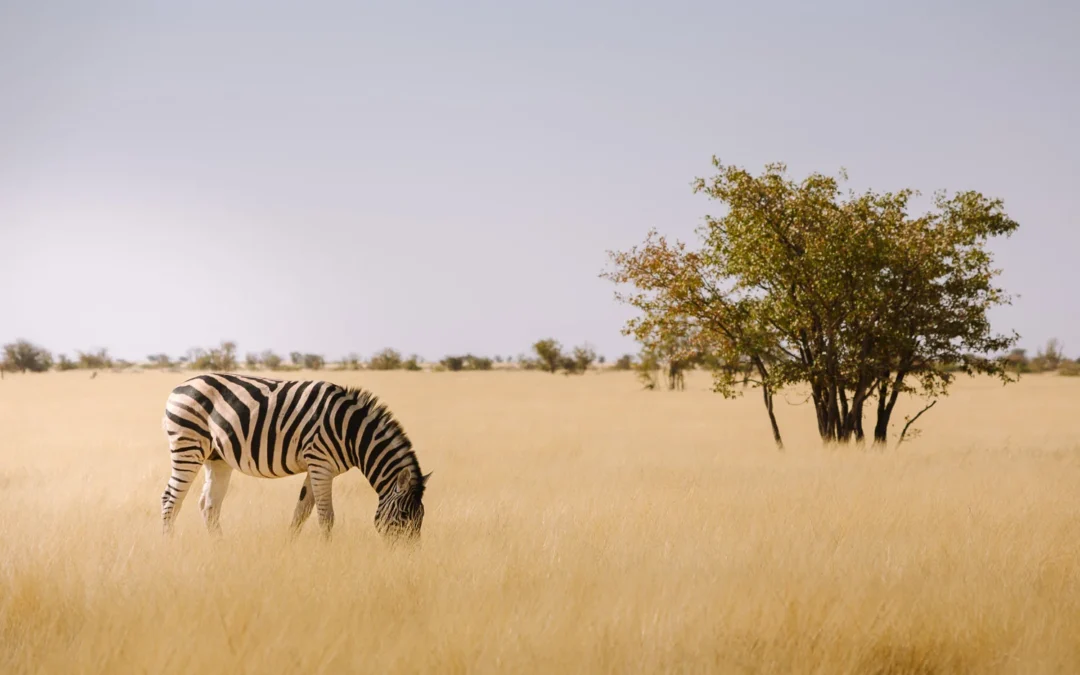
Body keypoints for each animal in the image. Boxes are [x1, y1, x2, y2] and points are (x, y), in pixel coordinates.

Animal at [159, 373, 429, 542]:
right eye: (404, 516)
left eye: (421, 518)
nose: (409, 558)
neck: (350, 431)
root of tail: (179, 386)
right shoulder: (320, 464)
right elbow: (326, 516)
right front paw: (327, 553)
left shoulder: (316, 467)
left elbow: (301, 512)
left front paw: (290, 546)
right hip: (188, 446)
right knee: (170, 499)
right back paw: (169, 546)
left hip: (217, 459)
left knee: (209, 505)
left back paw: (219, 547)